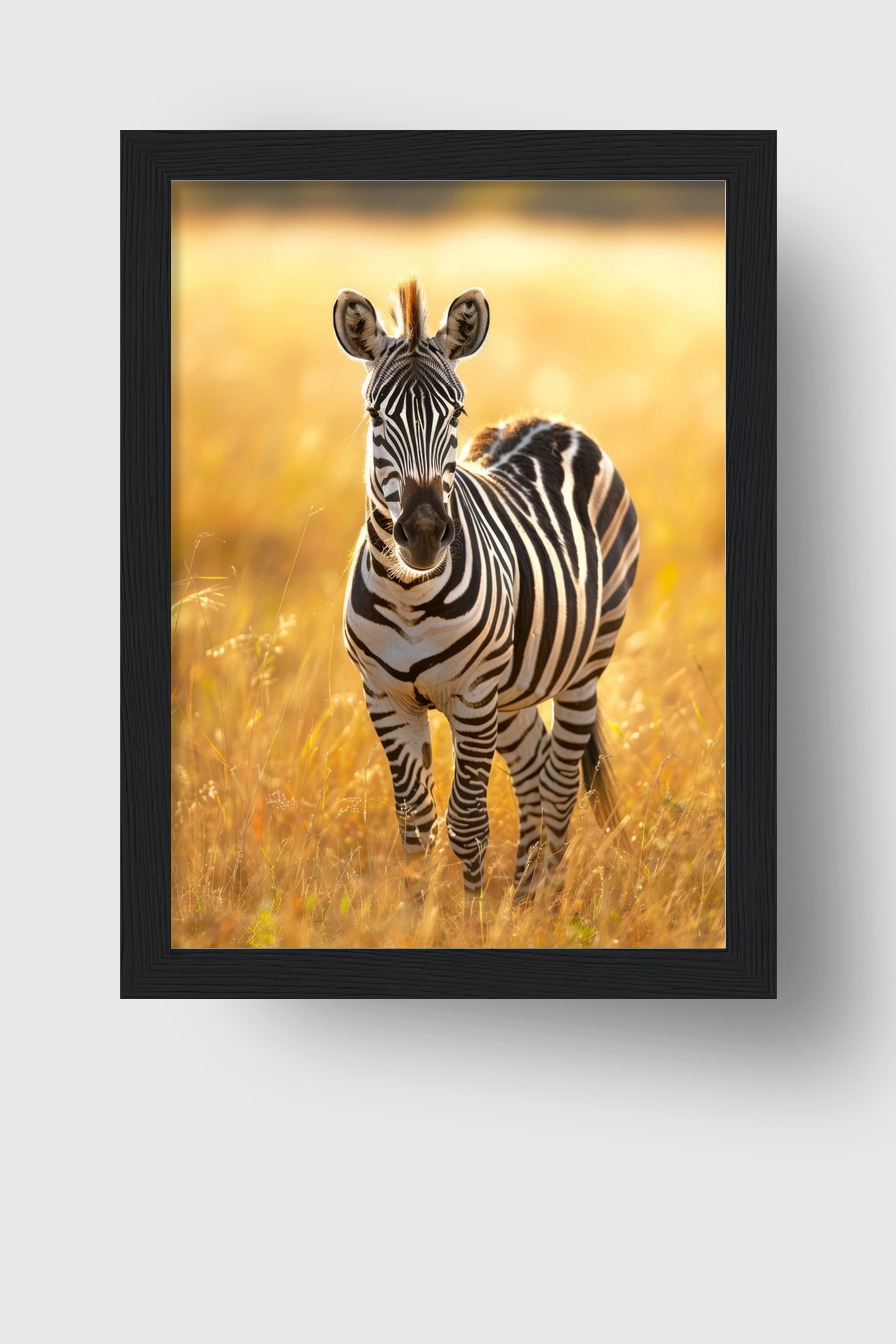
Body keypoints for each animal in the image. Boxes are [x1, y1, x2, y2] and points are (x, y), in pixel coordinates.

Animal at [333, 277, 639, 910]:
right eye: (375, 415)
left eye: (455, 412)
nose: (425, 532)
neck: (409, 598)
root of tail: (549, 419)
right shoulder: (385, 697)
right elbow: (415, 823)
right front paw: (416, 915)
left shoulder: (473, 698)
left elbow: (468, 821)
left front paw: (472, 916)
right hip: (515, 688)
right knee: (534, 768)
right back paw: (521, 898)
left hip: (584, 667)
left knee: (560, 781)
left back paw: (548, 900)